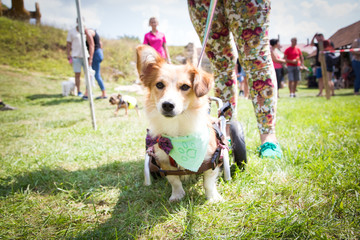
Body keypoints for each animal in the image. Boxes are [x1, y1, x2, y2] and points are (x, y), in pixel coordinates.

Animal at [136, 45, 222, 202]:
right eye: (159, 84)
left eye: (185, 87)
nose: (167, 105)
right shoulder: (163, 161)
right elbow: (174, 180)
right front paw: (177, 195)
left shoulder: (212, 159)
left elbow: (208, 182)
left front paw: (212, 197)